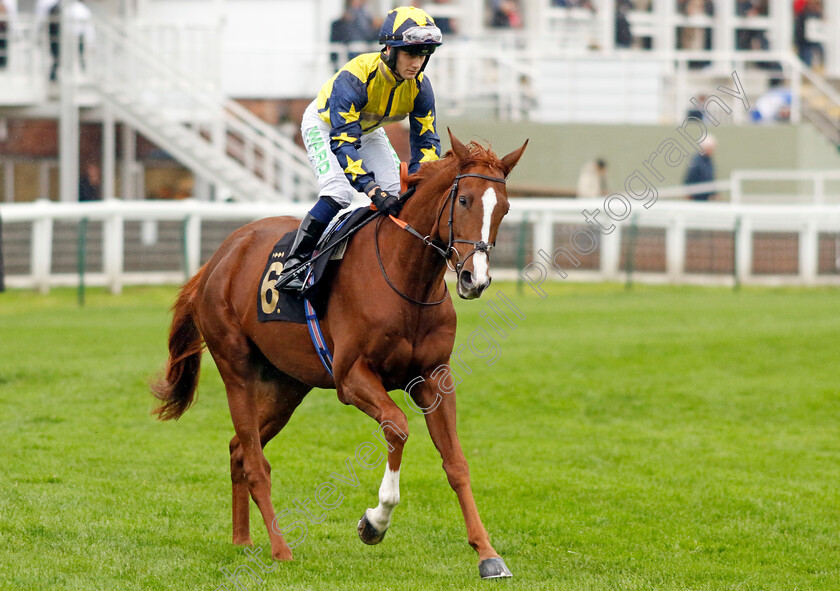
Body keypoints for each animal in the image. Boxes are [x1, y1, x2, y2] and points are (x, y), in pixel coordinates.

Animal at [153, 132, 524, 580]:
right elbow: (398, 428)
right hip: (236, 368)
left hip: (286, 385)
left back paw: (243, 540)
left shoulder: (435, 378)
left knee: (239, 450)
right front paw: (374, 522)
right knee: (256, 464)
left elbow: (455, 462)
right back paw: (280, 549)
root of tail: (219, 258)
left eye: (504, 207)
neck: (405, 278)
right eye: (465, 200)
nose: (475, 278)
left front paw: (487, 553)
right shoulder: (351, 377)